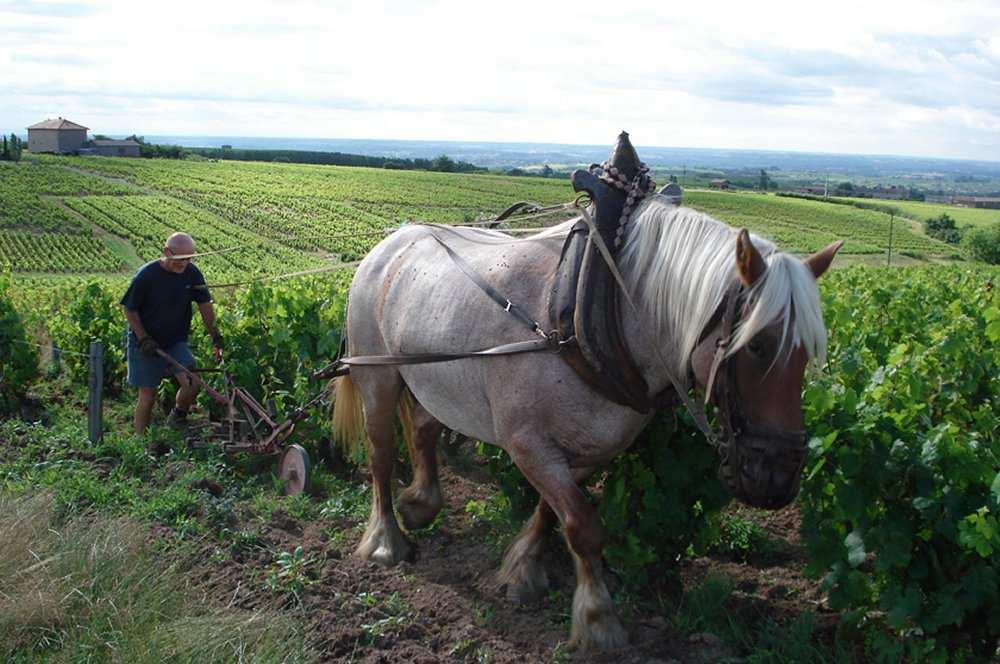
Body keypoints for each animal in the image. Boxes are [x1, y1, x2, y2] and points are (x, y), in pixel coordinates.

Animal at [332, 196, 840, 648]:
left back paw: (421, 503)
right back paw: (385, 540)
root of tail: (390, 243)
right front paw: (598, 620)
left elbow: (551, 513)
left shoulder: (590, 448)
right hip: (377, 374)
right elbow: (583, 527)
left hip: (432, 379)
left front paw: (522, 571)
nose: (777, 477)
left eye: (807, 354)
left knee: (422, 429)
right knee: (381, 455)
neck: (591, 313)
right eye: (756, 345)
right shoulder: (529, 445)